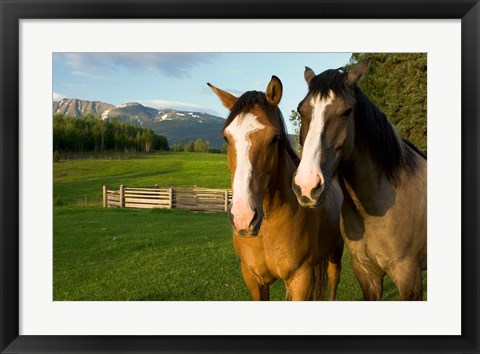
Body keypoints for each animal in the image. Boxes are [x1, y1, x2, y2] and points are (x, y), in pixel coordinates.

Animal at [208, 76, 344, 300]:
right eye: (226, 138)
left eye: (274, 138)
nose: (243, 218)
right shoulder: (254, 280)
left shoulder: (300, 280)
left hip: (336, 252)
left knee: (334, 282)